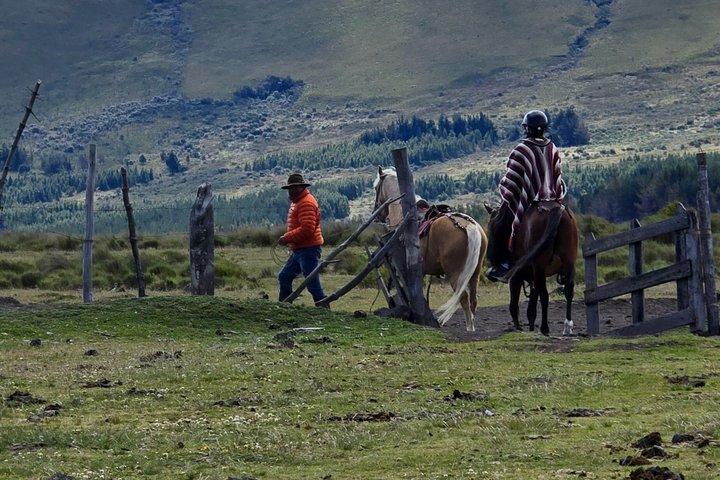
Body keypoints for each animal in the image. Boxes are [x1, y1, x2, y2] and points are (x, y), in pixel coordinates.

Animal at [374, 166, 488, 331]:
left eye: (376, 188)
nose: (377, 213)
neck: (403, 216)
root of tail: (469, 226)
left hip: (455, 274)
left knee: (463, 298)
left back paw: (468, 328)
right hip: (475, 273)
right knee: (473, 298)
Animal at [485, 201, 579, 336]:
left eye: (492, 227)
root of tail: (556, 209)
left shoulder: (516, 276)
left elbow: (514, 306)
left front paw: (519, 328)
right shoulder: (532, 279)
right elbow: (531, 310)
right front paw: (530, 328)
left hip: (539, 267)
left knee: (544, 295)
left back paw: (545, 328)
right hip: (569, 262)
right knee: (569, 291)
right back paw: (567, 326)